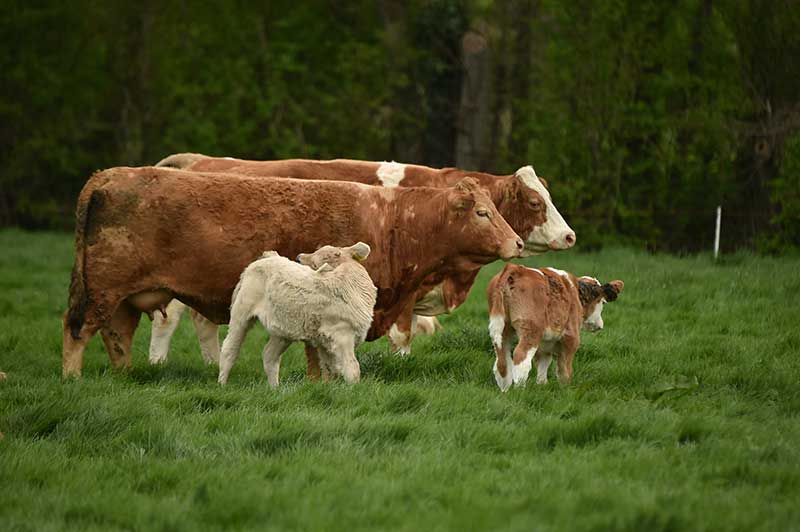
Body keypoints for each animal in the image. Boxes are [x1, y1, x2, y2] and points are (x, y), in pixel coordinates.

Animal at [64, 167, 524, 378]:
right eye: (483, 213)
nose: (518, 243)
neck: (393, 223)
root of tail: (107, 177)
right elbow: (320, 355)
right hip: (102, 291)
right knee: (78, 331)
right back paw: (73, 378)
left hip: (122, 301)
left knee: (117, 338)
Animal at [150, 153, 576, 362]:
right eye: (536, 203)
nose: (569, 235)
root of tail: (196, 160)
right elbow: (403, 334)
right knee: (169, 318)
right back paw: (157, 363)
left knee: (202, 321)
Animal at [484, 262, 620, 390]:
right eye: (602, 302)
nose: (600, 325)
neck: (575, 292)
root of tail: (516, 268)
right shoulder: (571, 338)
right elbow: (564, 367)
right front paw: (566, 388)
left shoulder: (545, 344)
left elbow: (543, 364)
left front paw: (542, 386)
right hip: (531, 330)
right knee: (521, 357)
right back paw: (519, 390)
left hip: (502, 329)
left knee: (502, 361)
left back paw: (505, 389)